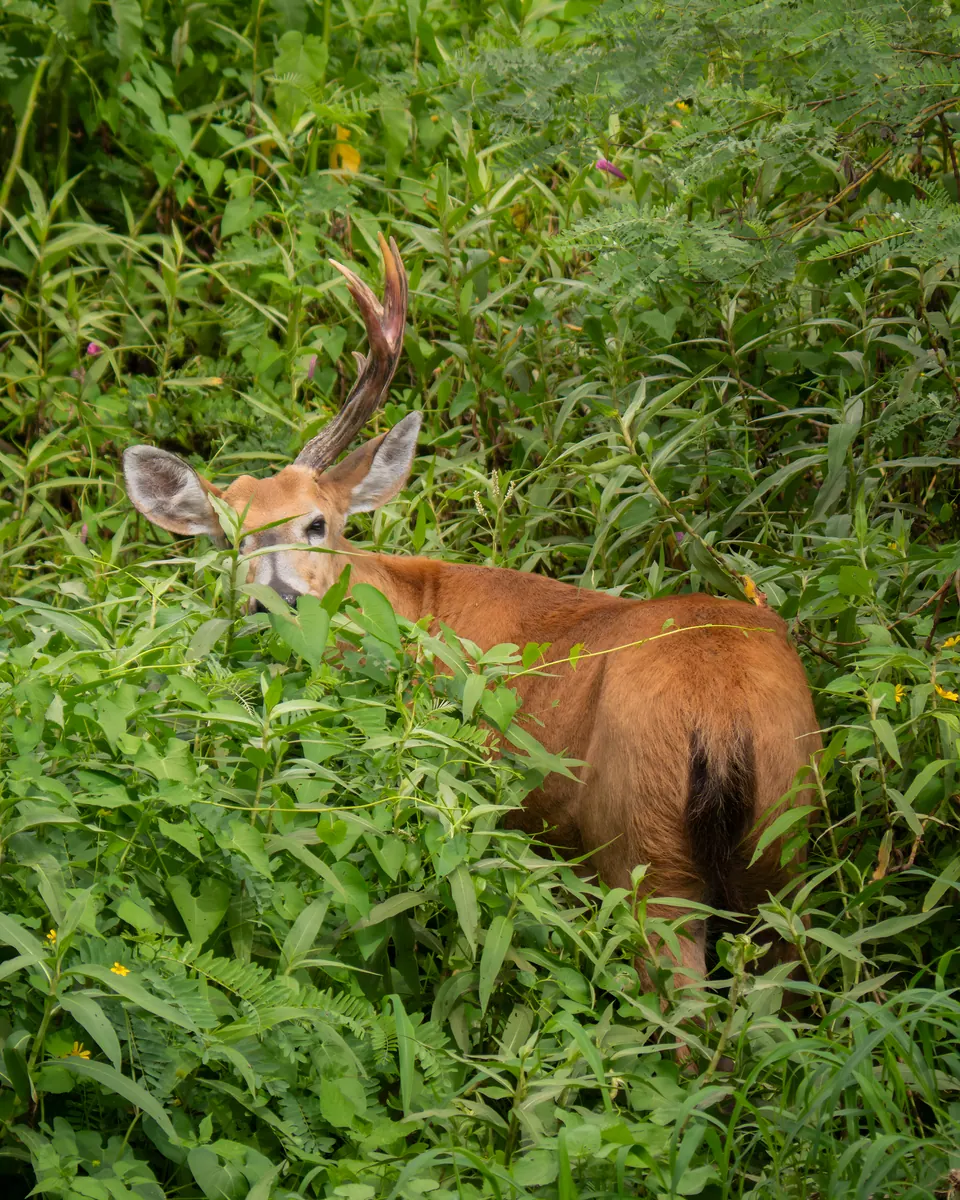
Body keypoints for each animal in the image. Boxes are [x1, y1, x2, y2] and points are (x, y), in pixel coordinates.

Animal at [123, 233, 821, 1005]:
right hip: (782, 846)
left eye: (317, 522)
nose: (276, 601)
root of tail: (721, 713)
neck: (410, 603)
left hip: (643, 844)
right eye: (229, 538)